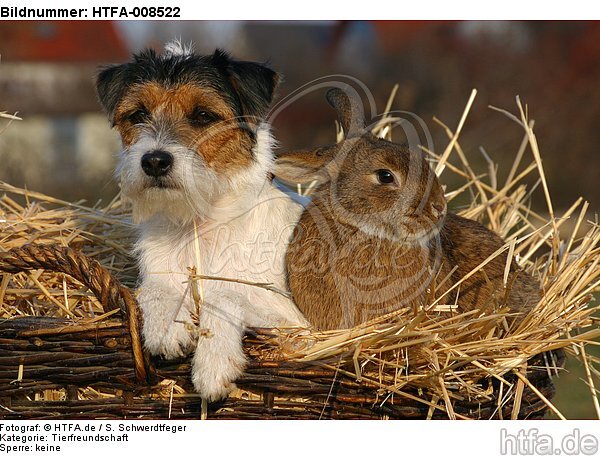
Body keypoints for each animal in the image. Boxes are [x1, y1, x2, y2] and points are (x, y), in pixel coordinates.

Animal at [97, 41, 310, 400]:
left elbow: (224, 295)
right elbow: (151, 289)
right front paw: (167, 327)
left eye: (203, 116)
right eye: (138, 114)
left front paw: (213, 364)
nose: (154, 161)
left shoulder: (299, 324)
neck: (198, 225)